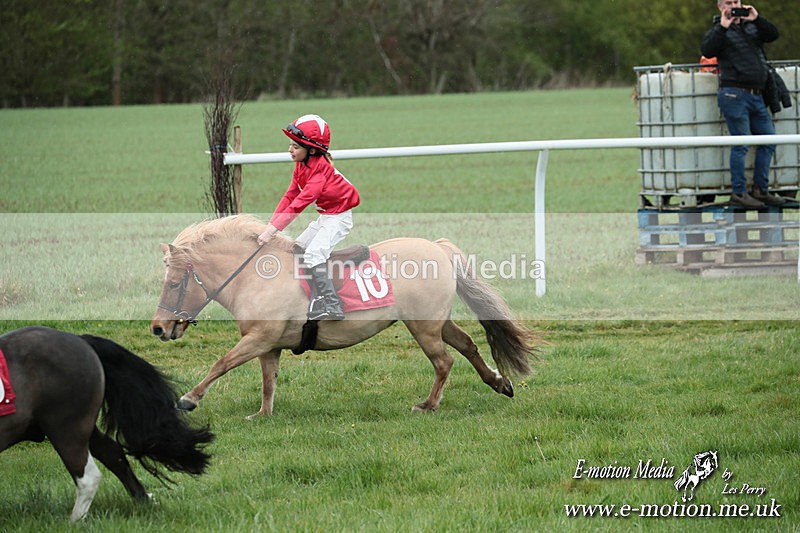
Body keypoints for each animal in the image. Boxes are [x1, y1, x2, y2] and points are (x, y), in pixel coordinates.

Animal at [0, 326, 214, 521]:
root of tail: (80, 340)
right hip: (80, 427)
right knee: (113, 454)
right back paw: (145, 500)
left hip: (67, 428)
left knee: (88, 477)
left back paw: (74, 522)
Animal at [150, 214, 538, 419]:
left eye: (173, 283)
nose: (158, 327)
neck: (254, 276)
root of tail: (439, 248)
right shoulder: (268, 345)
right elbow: (268, 380)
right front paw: (263, 414)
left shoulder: (258, 338)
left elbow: (222, 363)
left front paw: (188, 399)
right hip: (437, 322)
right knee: (469, 346)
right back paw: (499, 382)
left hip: (423, 326)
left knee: (443, 362)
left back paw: (428, 405)